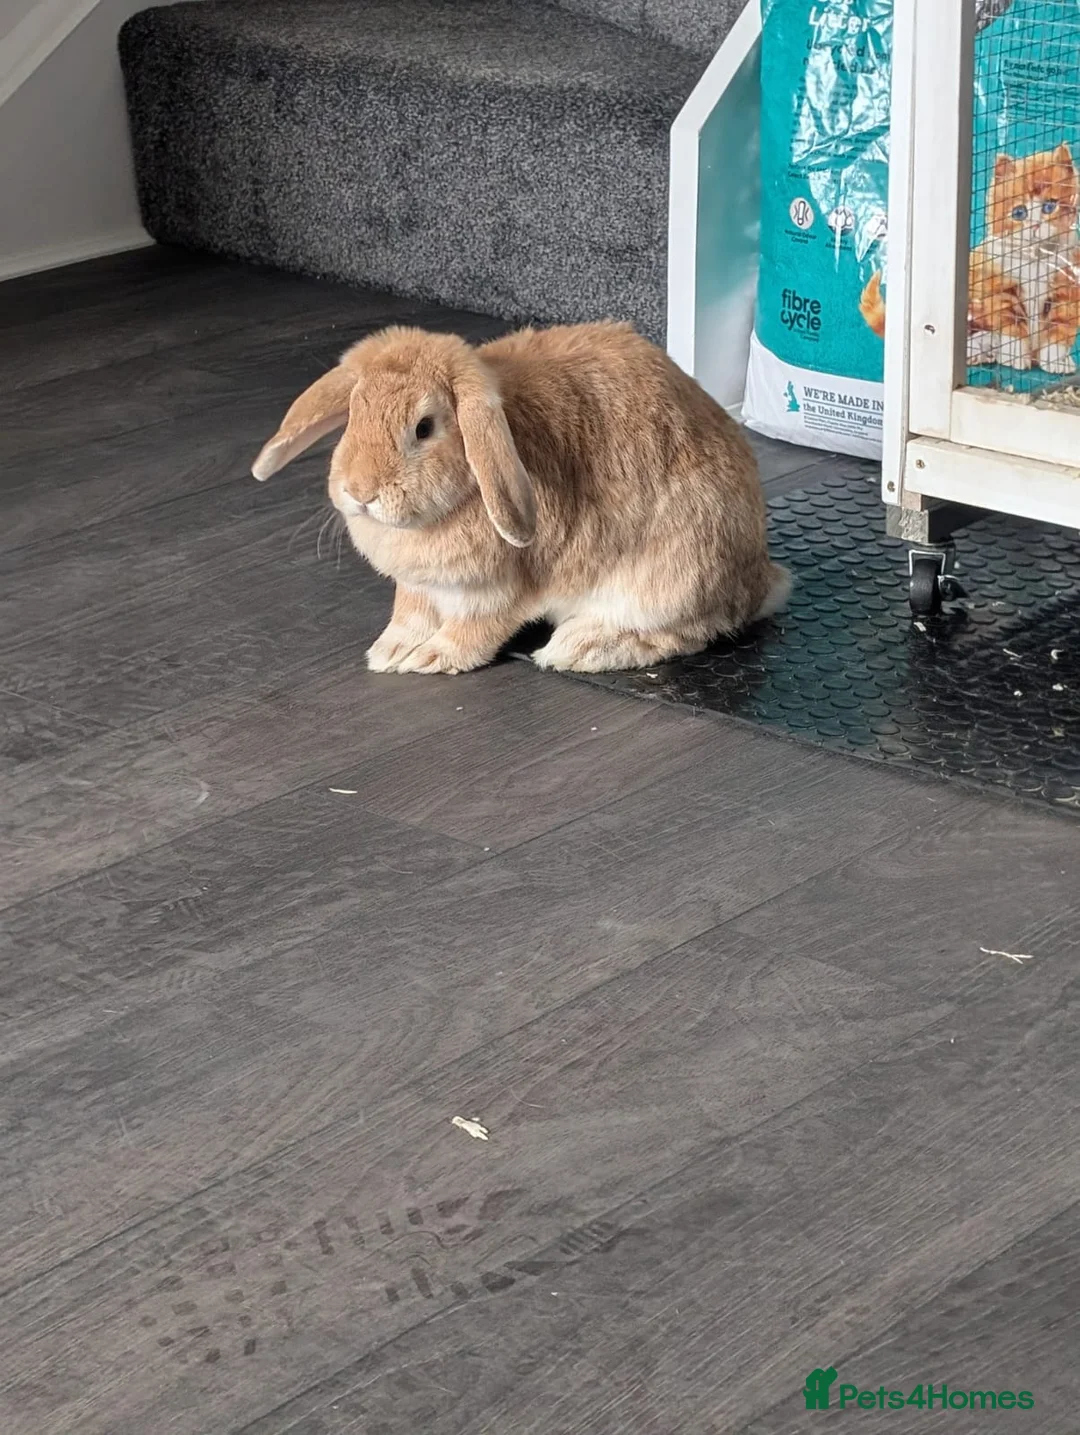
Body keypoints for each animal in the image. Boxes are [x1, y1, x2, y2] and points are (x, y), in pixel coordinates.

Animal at [252, 321, 789, 675]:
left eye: (424, 428)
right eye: (352, 415)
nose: (361, 492)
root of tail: (762, 577)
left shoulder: (497, 593)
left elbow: (474, 629)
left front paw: (430, 657)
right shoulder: (418, 588)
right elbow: (408, 614)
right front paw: (391, 650)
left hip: (672, 575)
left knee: (684, 630)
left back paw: (581, 648)